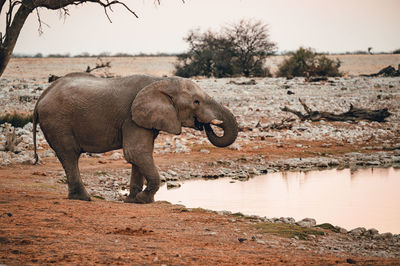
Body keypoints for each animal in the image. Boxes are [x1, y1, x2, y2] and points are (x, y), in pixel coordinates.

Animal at [32, 72, 238, 204]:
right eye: (196, 102)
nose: (205, 124)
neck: (160, 82)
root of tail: (41, 97)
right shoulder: (131, 118)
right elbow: (136, 153)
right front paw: (143, 200)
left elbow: (139, 156)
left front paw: (133, 200)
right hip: (57, 121)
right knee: (70, 155)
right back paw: (84, 198)